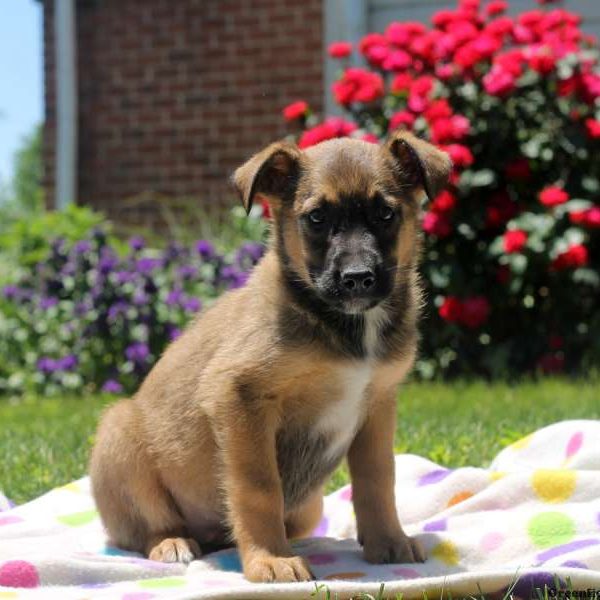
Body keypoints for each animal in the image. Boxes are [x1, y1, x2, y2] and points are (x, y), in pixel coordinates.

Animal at [89, 130, 450, 580]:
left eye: (385, 213)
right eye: (316, 218)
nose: (357, 279)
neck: (346, 327)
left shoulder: (378, 405)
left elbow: (378, 479)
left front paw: (388, 542)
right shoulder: (240, 397)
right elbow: (259, 488)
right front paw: (271, 560)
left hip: (310, 506)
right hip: (118, 433)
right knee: (147, 528)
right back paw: (172, 543)